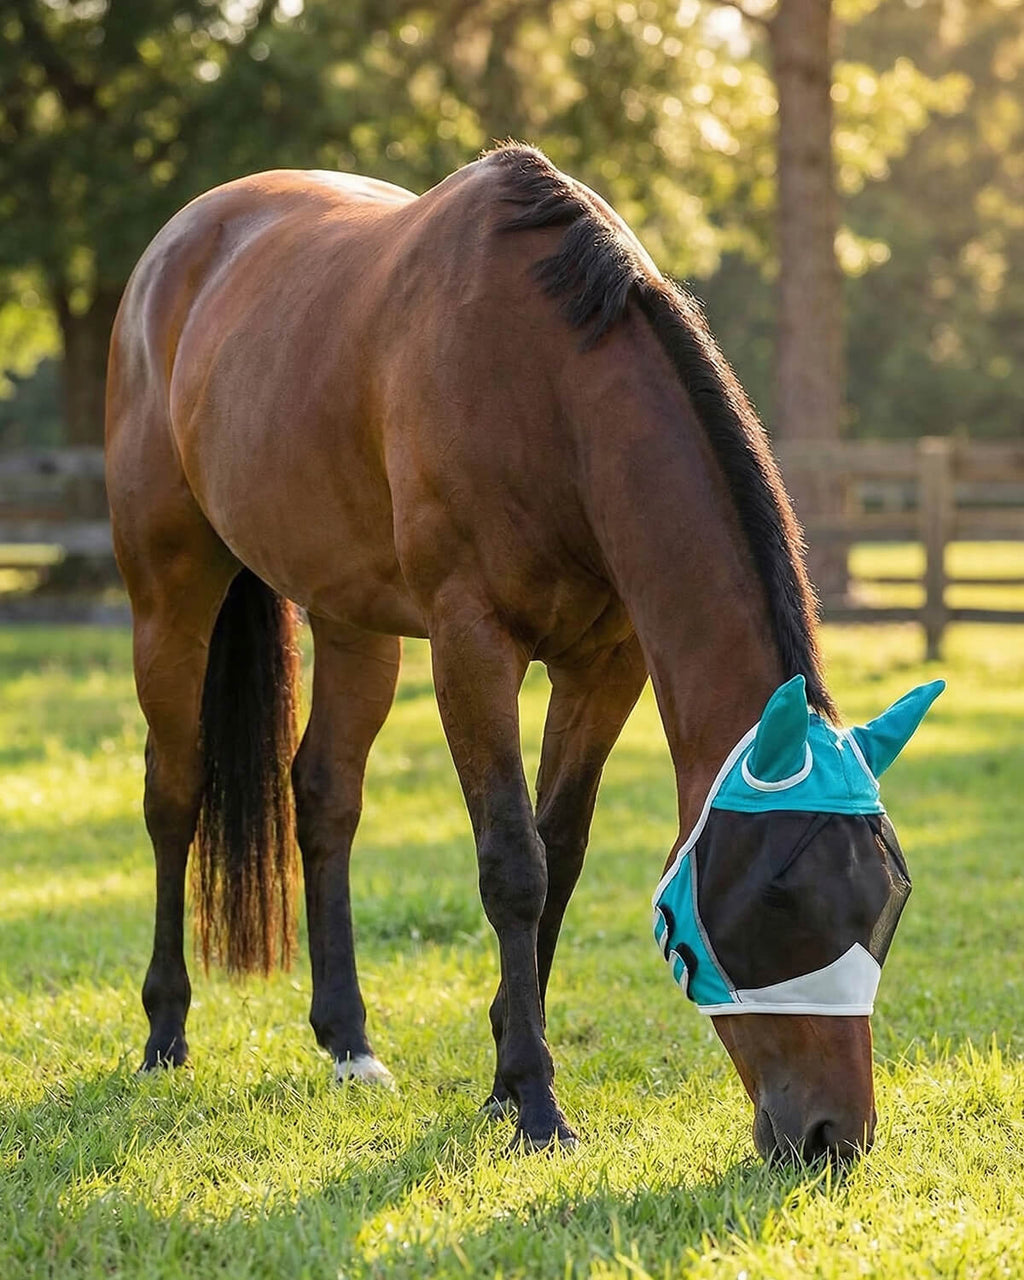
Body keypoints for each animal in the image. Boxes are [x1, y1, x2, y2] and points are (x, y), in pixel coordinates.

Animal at [106, 144, 929, 1160]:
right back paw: (165, 1032)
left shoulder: (606, 665)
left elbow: (560, 854)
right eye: (781, 899)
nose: (832, 1138)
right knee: (174, 795)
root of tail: (182, 241)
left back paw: (350, 1044)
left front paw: (503, 1077)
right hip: (170, 596)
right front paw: (535, 1102)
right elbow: (513, 864)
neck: (546, 386)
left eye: (887, 902)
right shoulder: (472, 646)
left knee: (326, 798)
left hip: (354, 622)